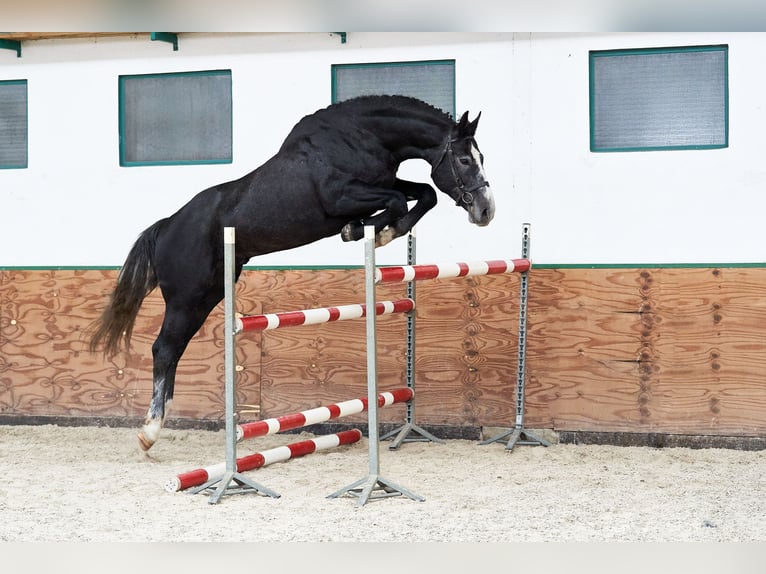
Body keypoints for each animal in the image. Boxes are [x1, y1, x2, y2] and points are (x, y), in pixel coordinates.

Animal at [91, 95, 498, 454]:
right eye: (464, 159)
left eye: (480, 157)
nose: (485, 210)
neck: (360, 138)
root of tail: (167, 226)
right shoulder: (342, 196)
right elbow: (399, 200)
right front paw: (365, 230)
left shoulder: (383, 183)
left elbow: (424, 192)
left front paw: (375, 230)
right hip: (187, 297)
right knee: (164, 348)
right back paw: (149, 431)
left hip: (209, 293)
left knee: (174, 349)